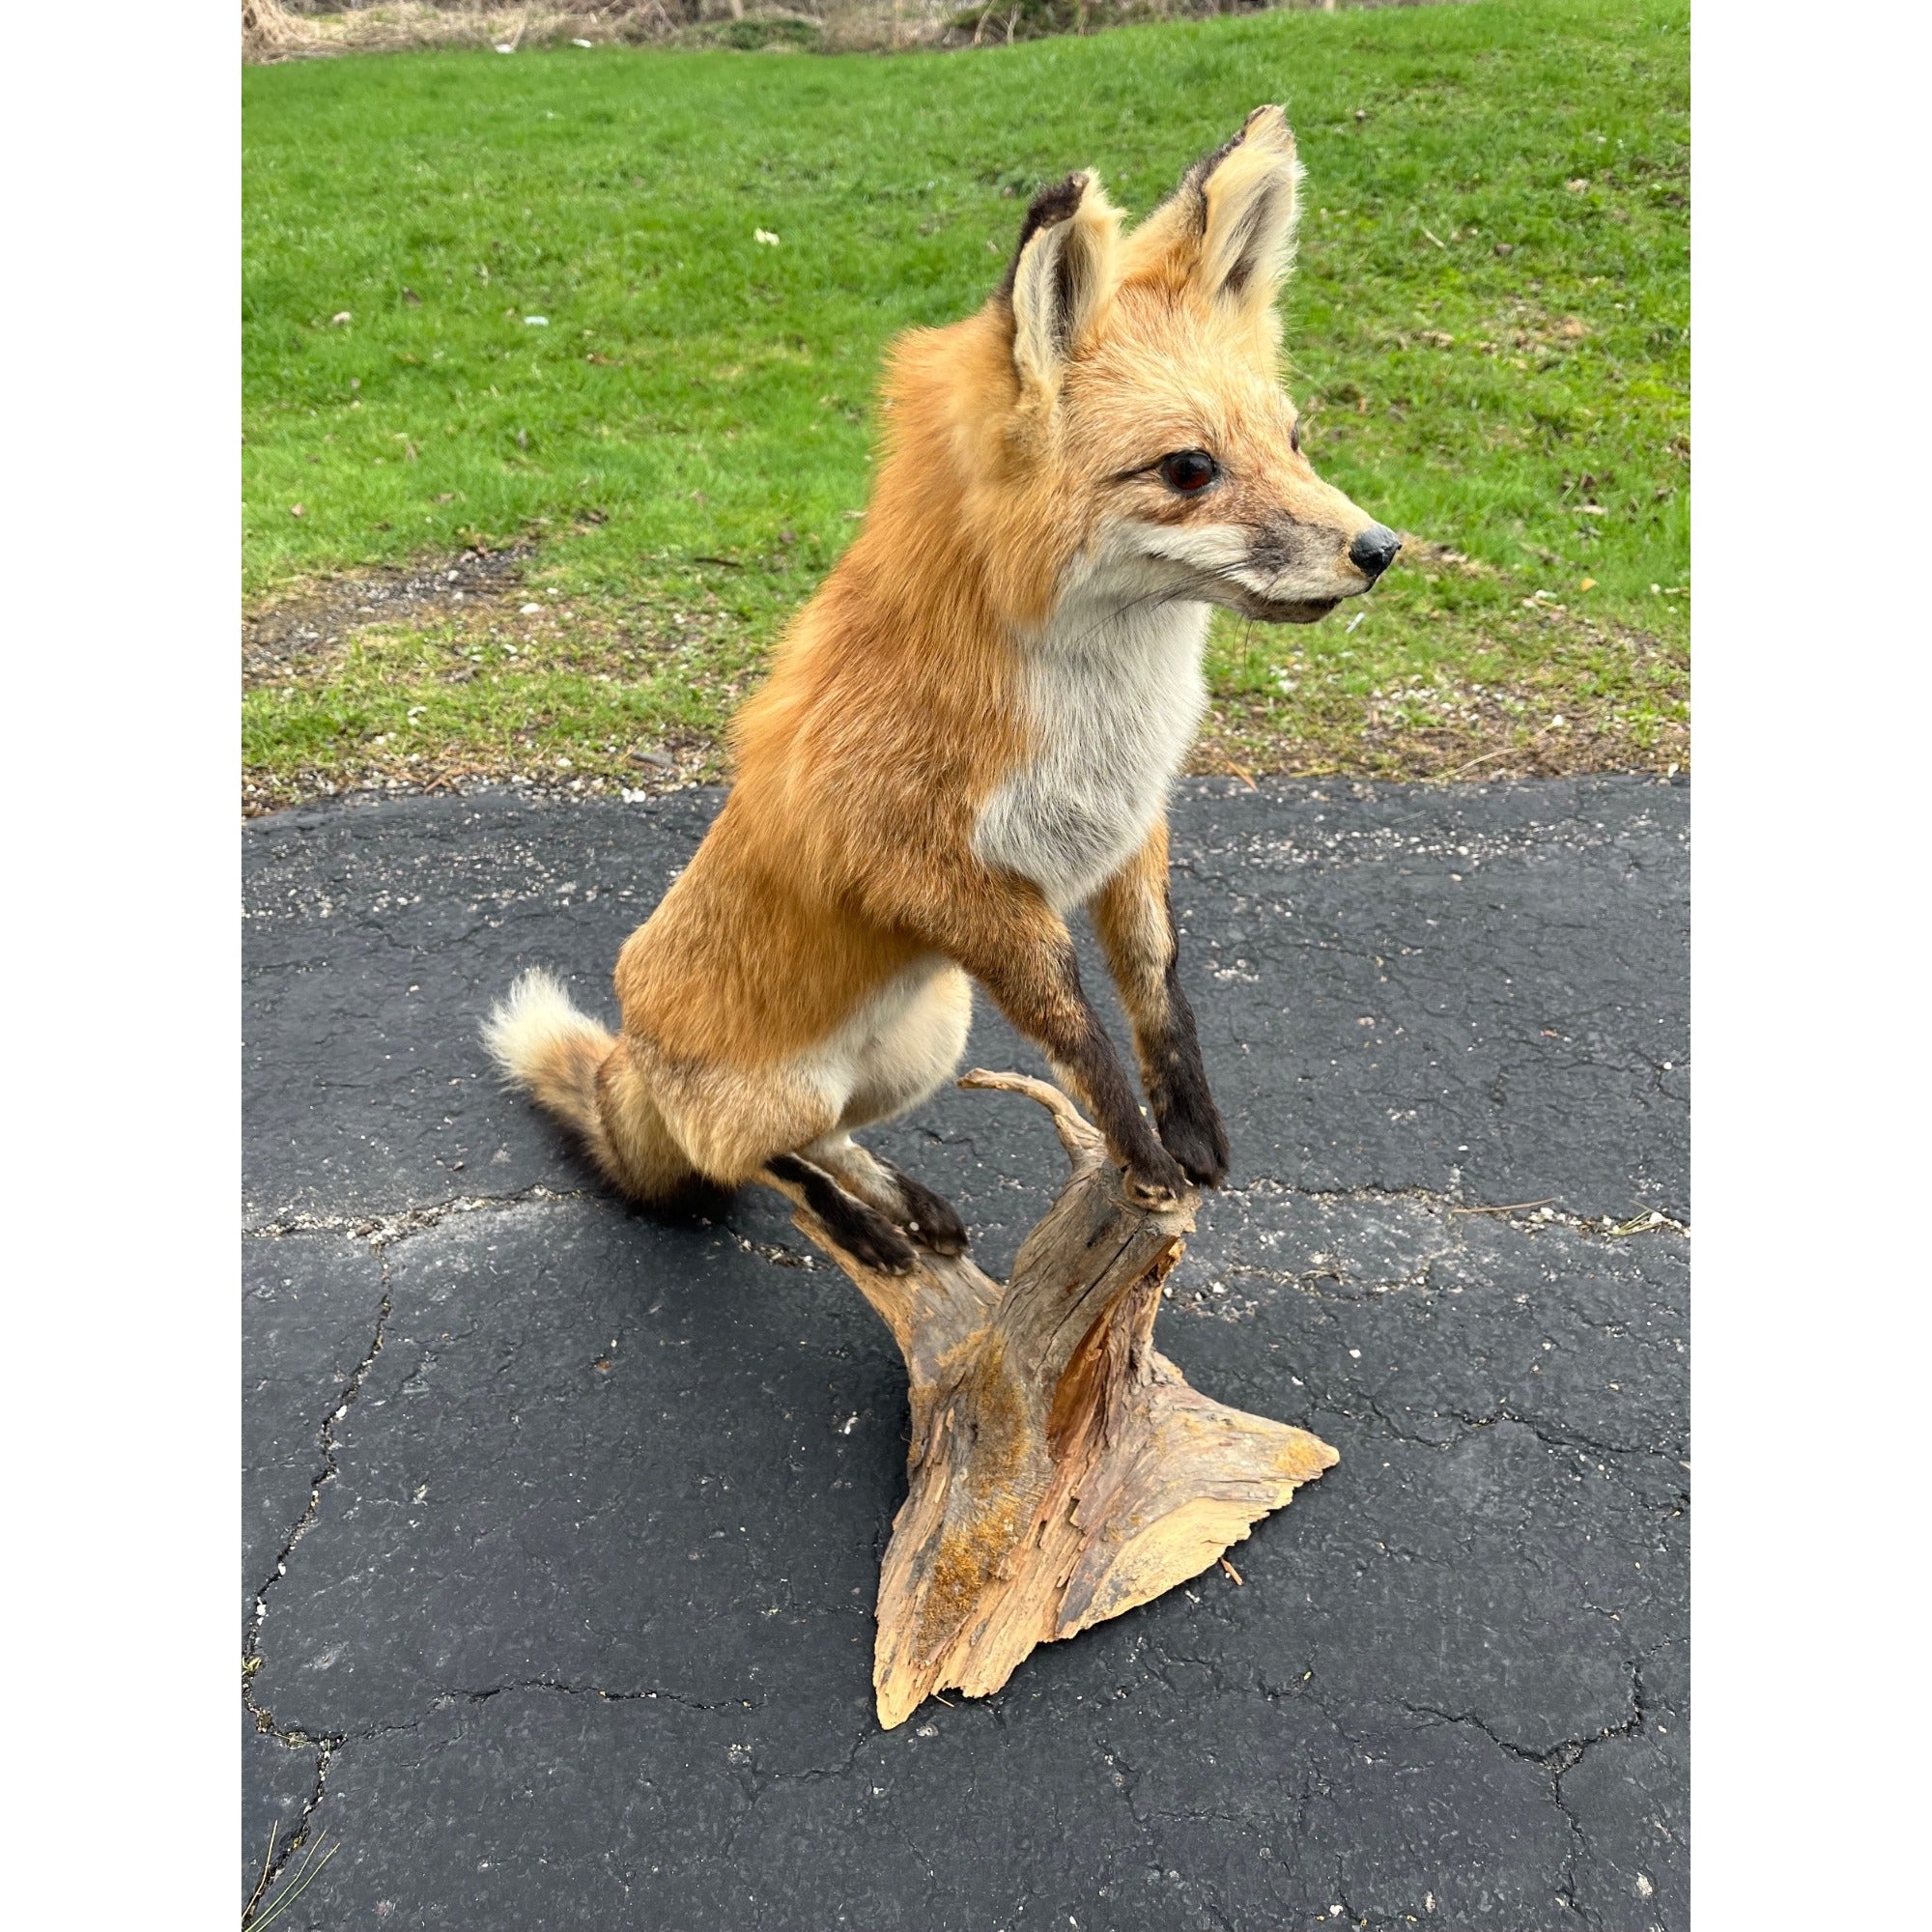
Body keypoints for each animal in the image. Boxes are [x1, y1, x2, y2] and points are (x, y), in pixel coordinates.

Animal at [485, 106, 1399, 1275]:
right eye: (1189, 469)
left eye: (1292, 440)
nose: (1379, 550)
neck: (1103, 718)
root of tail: (627, 1057)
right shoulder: (948, 884)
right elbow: (1078, 1037)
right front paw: (1143, 1160)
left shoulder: (1128, 830)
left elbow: (1159, 993)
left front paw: (1192, 1139)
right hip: (794, 1081)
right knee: (761, 1159)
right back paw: (865, 1228)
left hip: (928, 1034)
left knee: (830, 1137)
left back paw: (906, 1206)